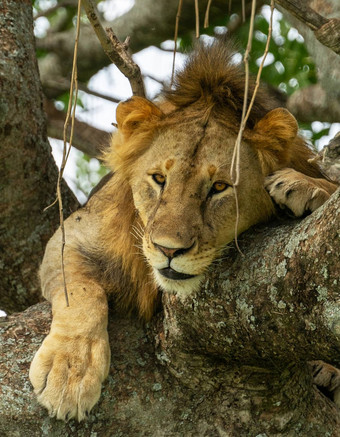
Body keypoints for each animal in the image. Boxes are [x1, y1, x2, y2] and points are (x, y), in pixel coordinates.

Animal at [28, 41, 338, 418]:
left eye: (219, 187)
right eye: (159, 179)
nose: (169, 250)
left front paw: (306, 185)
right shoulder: (73, 236)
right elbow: (81, 295)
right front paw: (69, 371)